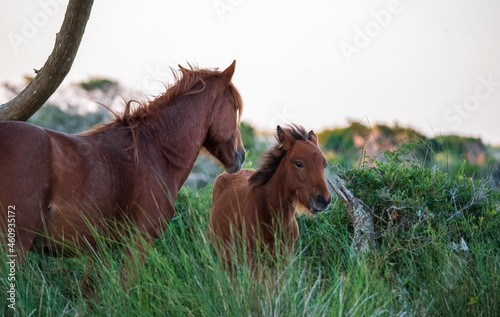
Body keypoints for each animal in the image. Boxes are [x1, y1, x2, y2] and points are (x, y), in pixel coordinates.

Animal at [0, 60, 245, 282]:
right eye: (234, 106)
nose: (241, 155)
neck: (156, 151)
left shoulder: (101, 251)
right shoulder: (137, 242)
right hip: (15, 245)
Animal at [210, 124, 332, 268]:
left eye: (324, 165)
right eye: (299, 163)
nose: (323, 200)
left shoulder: (283, 260)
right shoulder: (254, 262)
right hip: (225, 259)